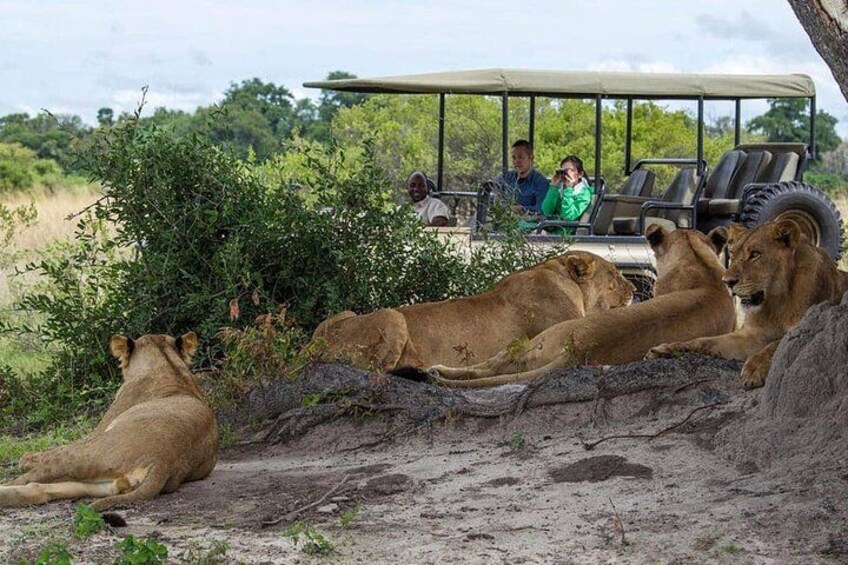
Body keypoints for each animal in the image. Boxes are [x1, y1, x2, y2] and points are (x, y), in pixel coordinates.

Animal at [0, 332, 218, 510]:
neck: (169, 365)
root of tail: (164, 461)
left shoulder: (97, 431)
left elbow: (50, 450)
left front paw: (27, 458)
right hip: (104, 484)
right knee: (38, 488)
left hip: (86, 453)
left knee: (36, 474)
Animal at [426, 226, 736, 387]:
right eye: (614, 278)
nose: (635, 290)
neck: (704, 268)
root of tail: (578, 351)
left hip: (532, 341)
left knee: (490, 366)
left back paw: (436, 370)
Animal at [647, 220, 848, 389]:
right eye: (733, 254)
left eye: (755, 254)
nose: (727, 282)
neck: (776, 301)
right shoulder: (750, 335)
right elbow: (704, 341)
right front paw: (666, 348)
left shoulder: (805, 327)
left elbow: (776, 344)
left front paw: (754, 368)